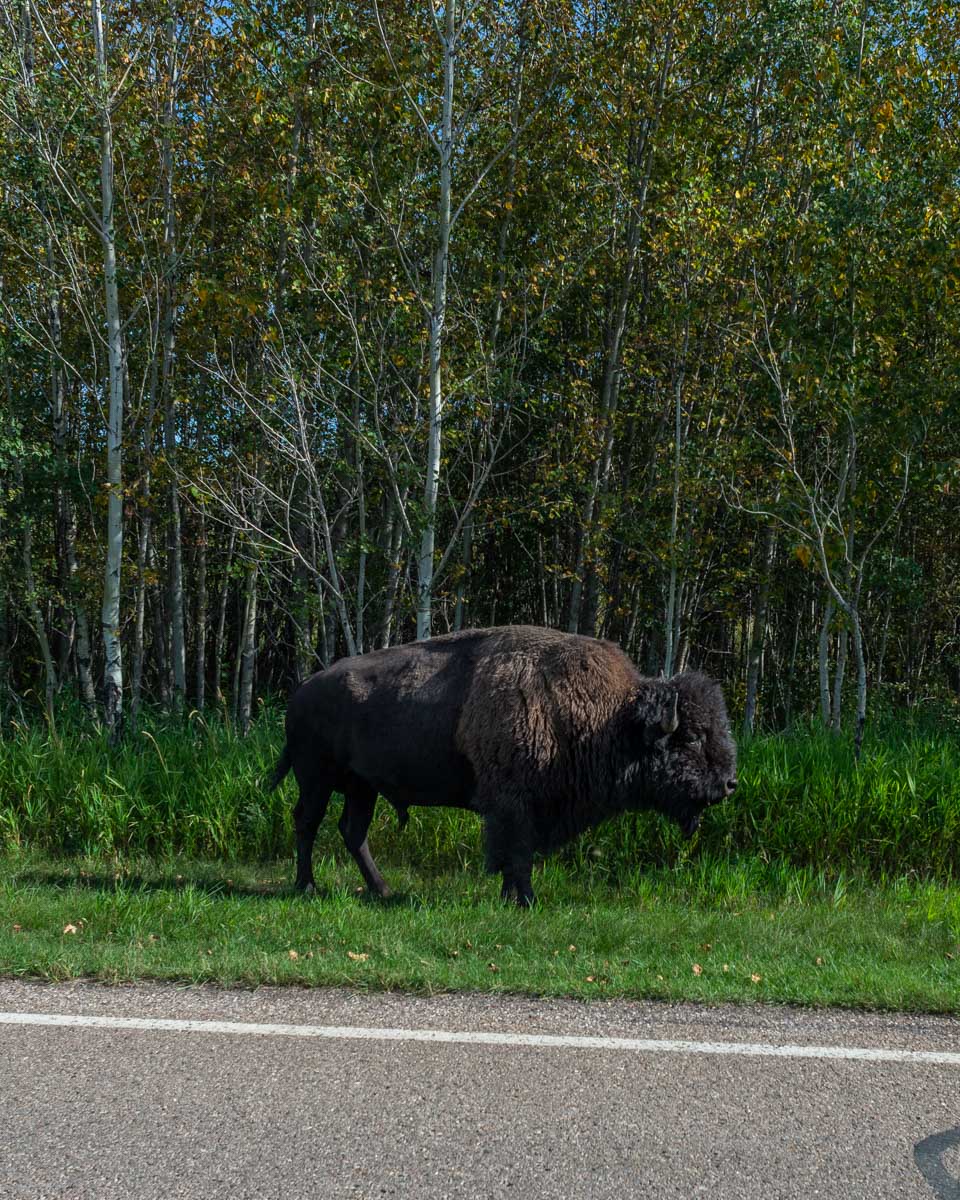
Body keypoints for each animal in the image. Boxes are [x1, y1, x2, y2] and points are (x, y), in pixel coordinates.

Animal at [271, 624, 737, 905]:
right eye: (692, 737)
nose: (729, 784)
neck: (609, 716)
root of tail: (303, 690)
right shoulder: (512, 805)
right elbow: (515, 853)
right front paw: (525, 900)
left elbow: (518, 854)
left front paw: (514, 897)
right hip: (316, 778)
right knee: (307, 822)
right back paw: (307, 886)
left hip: (362, 787)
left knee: (353, 832)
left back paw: (383, 890)